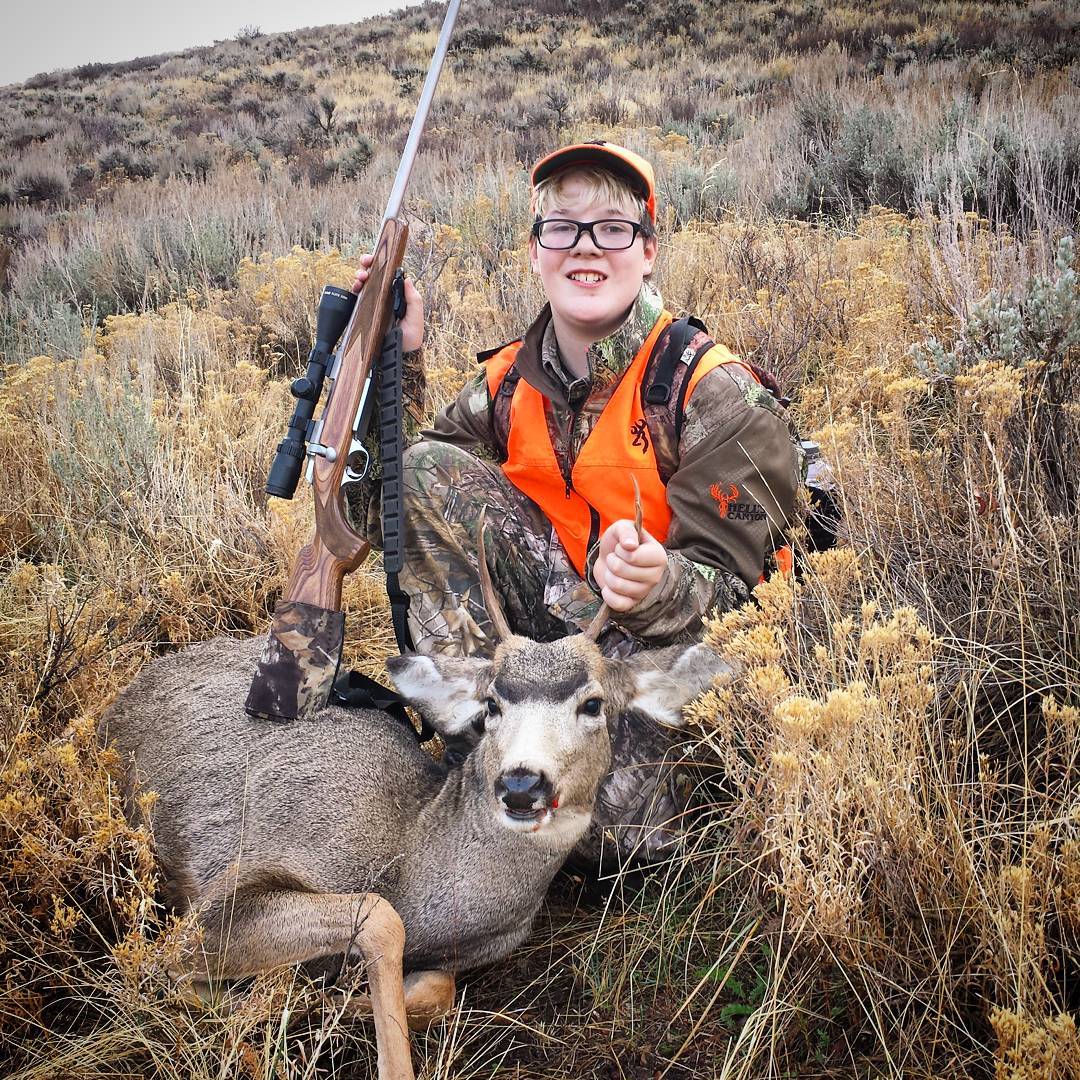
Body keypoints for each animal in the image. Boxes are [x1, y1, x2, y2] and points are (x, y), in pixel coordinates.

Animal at [100, 516, 733, 1080]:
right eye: (492, 704)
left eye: (594, 703)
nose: (521, 784)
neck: (413, 850)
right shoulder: (225, 894)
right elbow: (378, 919)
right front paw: (300, 1001)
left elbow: (437, 990)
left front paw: (330, 999)